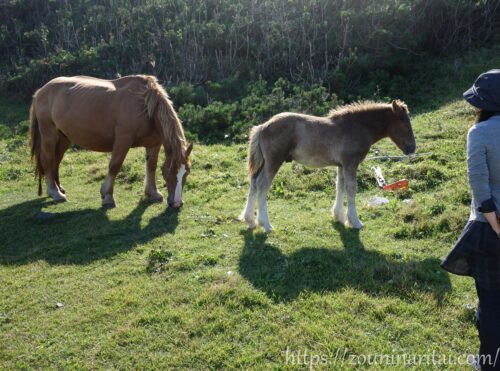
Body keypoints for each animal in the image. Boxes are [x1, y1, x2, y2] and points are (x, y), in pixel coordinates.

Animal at [29, 75, 192, 209]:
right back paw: (55, 193)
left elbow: (151, 167)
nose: (177, 203)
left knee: (56, 160)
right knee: (47, 159)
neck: (144, 105)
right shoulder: (123, 140)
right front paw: (107, 196)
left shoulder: (153, 144)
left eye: (187, 173)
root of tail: (40, 92)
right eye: (170, 172)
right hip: (49, 135)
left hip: (64, 138)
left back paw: (59, 187)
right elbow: (115, 166)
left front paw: (153, 193)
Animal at [240, 99, 416, 232]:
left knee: (254, 183)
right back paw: (266, 225)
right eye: (405, 125)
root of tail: (262, 126)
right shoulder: (351, 163)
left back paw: (250, 220)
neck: (358, 126)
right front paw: (355, 222)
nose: (412, 148)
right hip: (274, 161)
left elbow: (340, 186)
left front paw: (339, 217)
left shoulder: (342, 165)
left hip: (264, 162)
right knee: (262, 185)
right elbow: (351, 189)